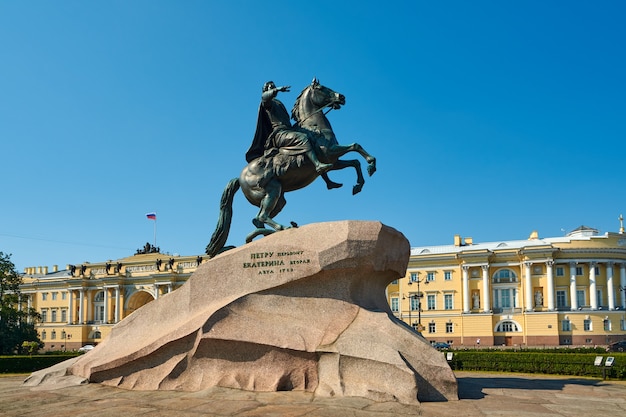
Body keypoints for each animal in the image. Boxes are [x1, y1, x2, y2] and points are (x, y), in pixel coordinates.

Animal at [205, 78, 372, 256]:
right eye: (321, 88)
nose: (341, 97)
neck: (314, 127)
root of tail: (240, 177)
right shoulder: (330, 153)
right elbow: (355, 146)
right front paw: (371, 165)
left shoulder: (334, 161)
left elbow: (354, 162)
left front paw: (358, 184)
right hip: (273, 190)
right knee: (262, 216)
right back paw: (283, 227)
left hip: (278, 199)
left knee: (257, 219)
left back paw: (268, 233)